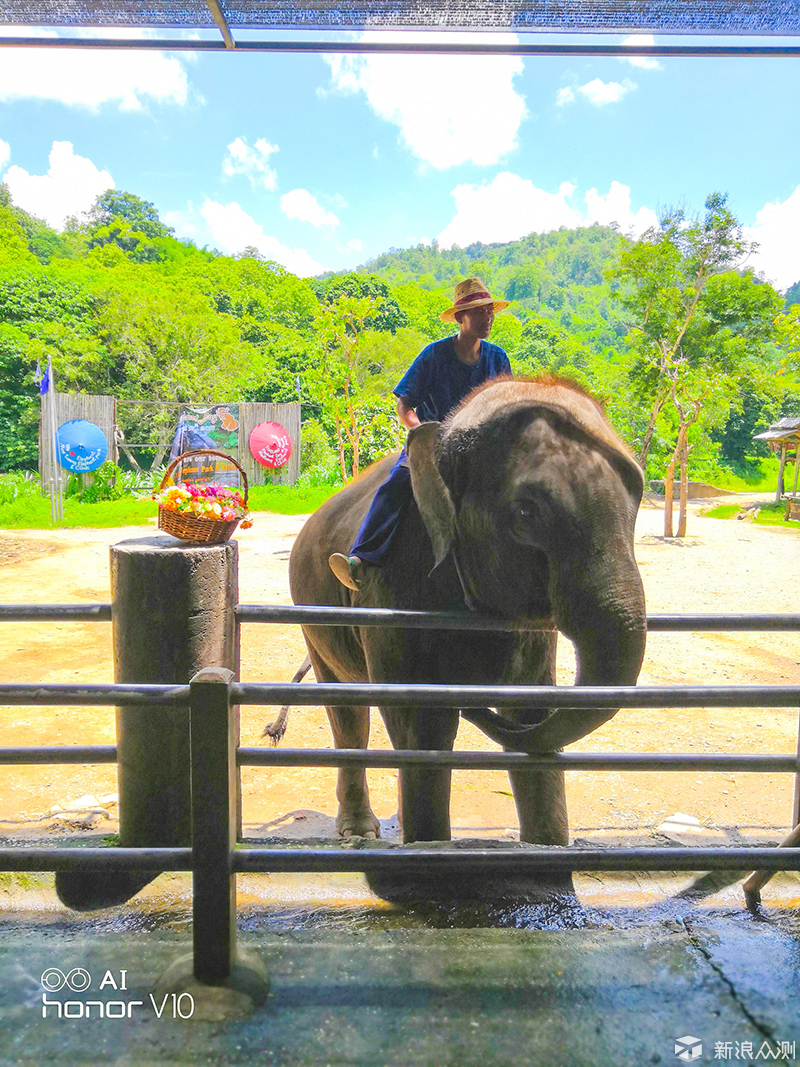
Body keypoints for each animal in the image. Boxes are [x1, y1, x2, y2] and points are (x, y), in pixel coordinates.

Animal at [292, 379, 648, 896]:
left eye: (638, 497)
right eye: (526, 512)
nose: (471, 699)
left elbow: (530, 712)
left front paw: (550, 872)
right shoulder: (394, 589)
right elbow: (423, 722)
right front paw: (429, 870)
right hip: (313, 614)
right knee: (347, 710)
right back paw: (361, 830)